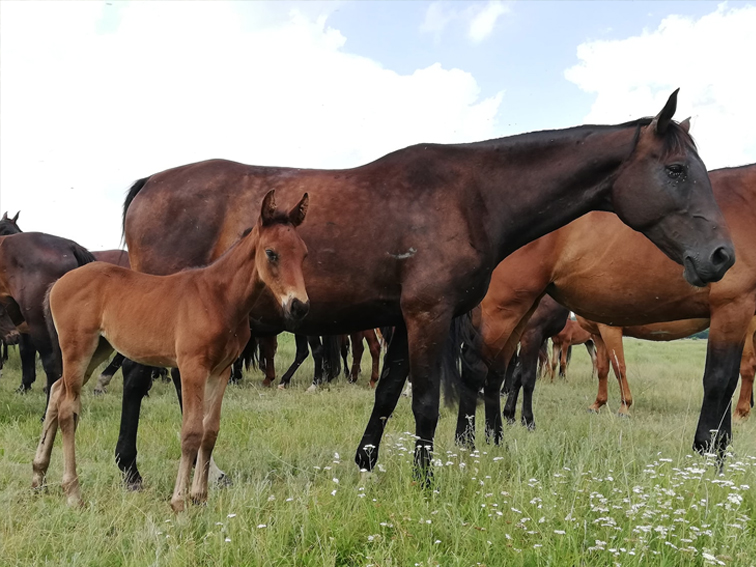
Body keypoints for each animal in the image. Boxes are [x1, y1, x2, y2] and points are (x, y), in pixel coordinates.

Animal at [31, 192, 310, 516]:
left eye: (303, 254)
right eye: (271, 253)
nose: (299, 306)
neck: (218, 298)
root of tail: (58, 284)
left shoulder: (222, 370)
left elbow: (210, 431)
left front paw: (200, 497)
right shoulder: (191, 367)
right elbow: (191, 432)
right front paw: (180, 502)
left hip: (98, 351)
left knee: (56, 391)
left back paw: (38, 476)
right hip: (77, 349)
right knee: (68, 408)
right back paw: (73, 493)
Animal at [454, 164, 756, 458]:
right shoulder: (729, 308)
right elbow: (716, 380)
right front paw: (708, 446)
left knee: (496, 370)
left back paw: (495, 441)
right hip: (504, 309)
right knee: (478, 366)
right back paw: (468, 443)